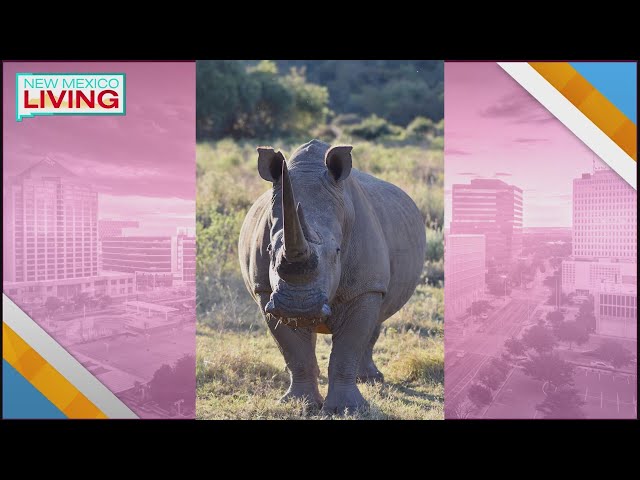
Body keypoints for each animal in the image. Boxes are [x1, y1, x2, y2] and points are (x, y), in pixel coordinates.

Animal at [239, 140, 426, 413]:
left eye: (337, 251)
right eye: (271, 249)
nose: (298, 306)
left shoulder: (366, 286)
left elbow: (347, 348)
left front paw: (347, 409)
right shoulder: (264, 289)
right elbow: (294, 350)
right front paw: (301, 405)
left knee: (377, 317)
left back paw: (371, 379)